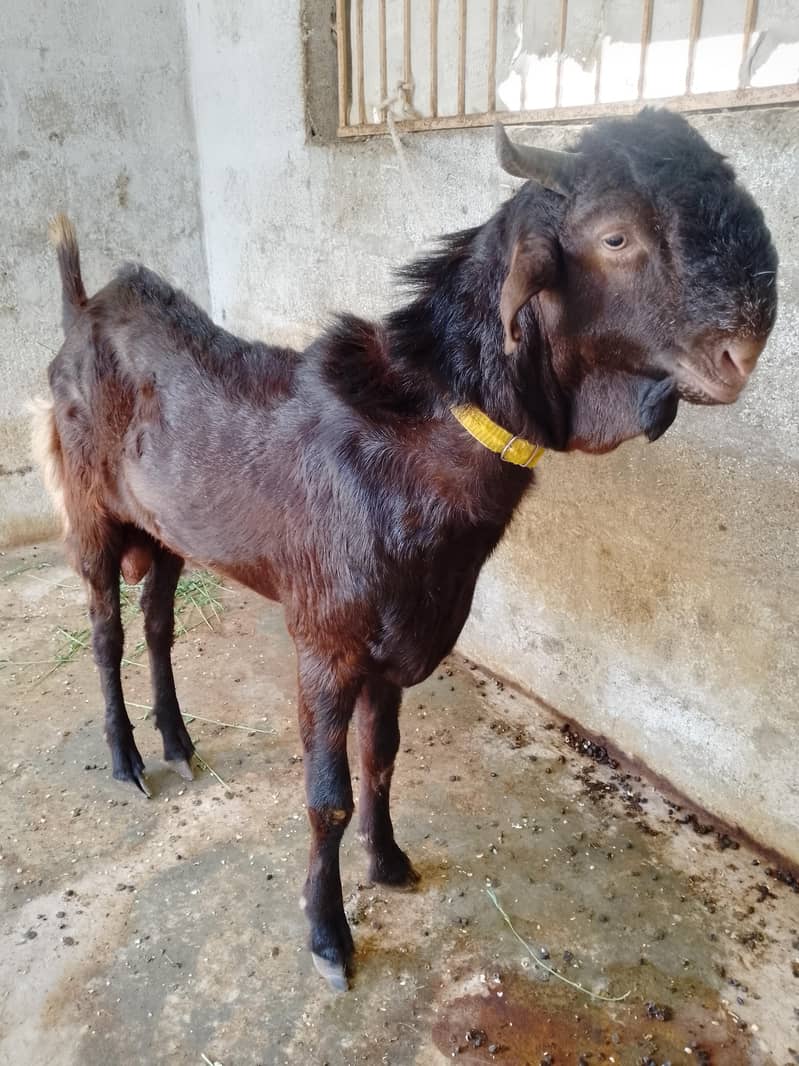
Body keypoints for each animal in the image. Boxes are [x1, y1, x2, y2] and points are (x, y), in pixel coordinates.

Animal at [33, 109, 777, 990]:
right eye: (615, 236)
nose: (740, 355)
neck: (421, 438)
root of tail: (83, 309)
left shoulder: (401, 639)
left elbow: (382, 756)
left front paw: (387, 861)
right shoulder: (325, 640)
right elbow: (326, 794)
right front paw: (327, 935)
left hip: (165, 527)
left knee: (156, 624)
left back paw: (177, 742)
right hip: (90, 512)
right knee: (105, 633)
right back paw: (127, 758)